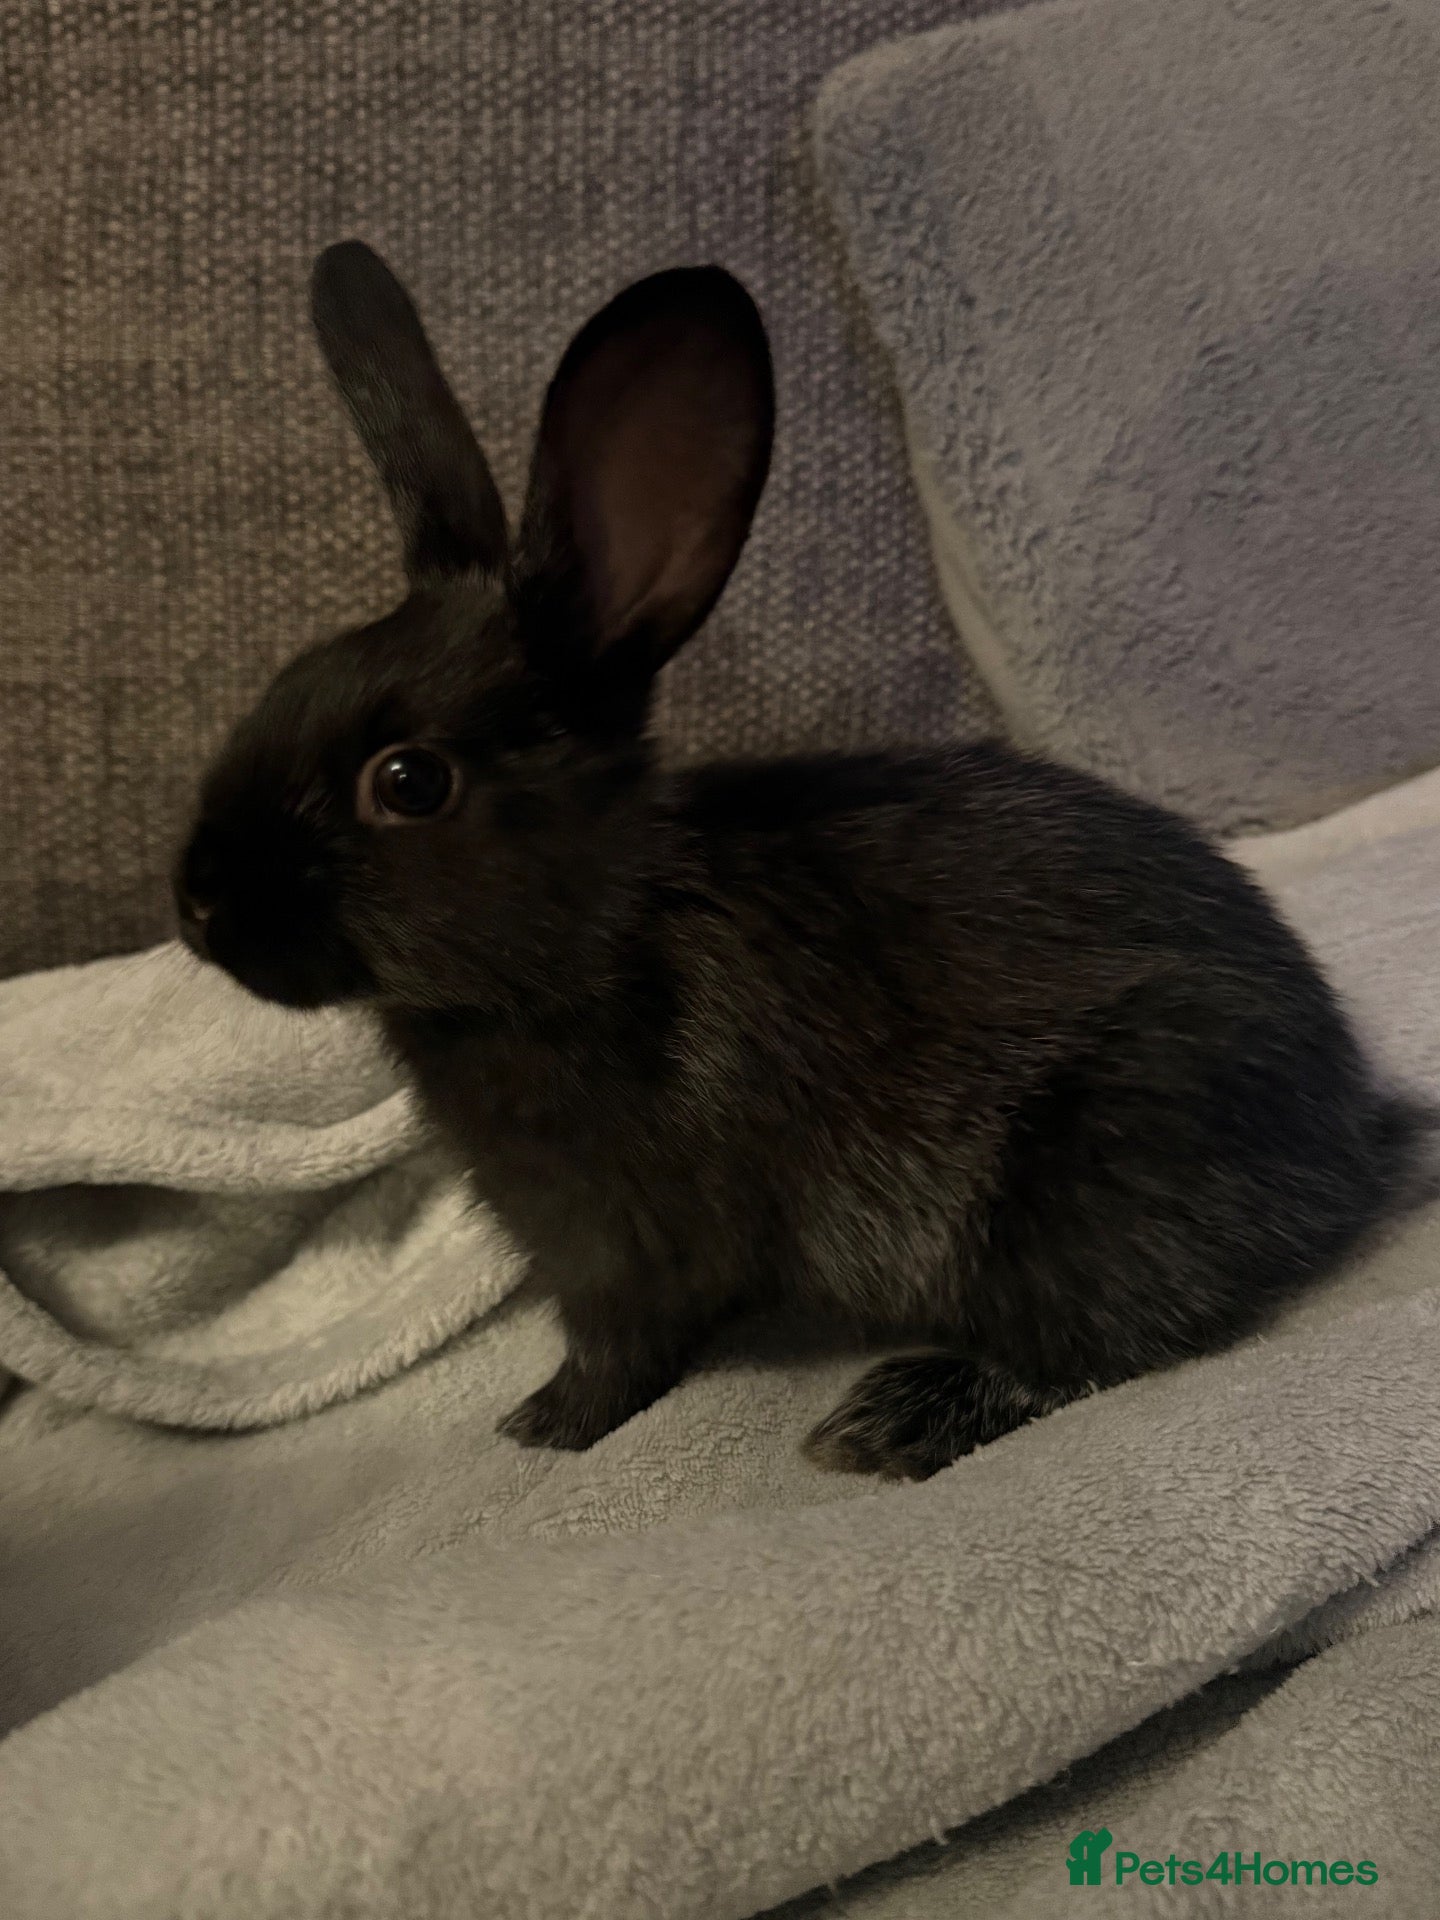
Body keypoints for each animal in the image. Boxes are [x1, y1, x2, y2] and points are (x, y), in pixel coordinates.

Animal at [175, 239, 1421, 1480]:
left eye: (408, 782)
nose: (197, 904)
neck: (598, 938)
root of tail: (1344, 1145)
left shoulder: (629, 1247)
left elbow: (621, 1350)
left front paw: (549, 1425)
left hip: (1088, 1185)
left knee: (1103, 1342)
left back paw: (890, 1420)